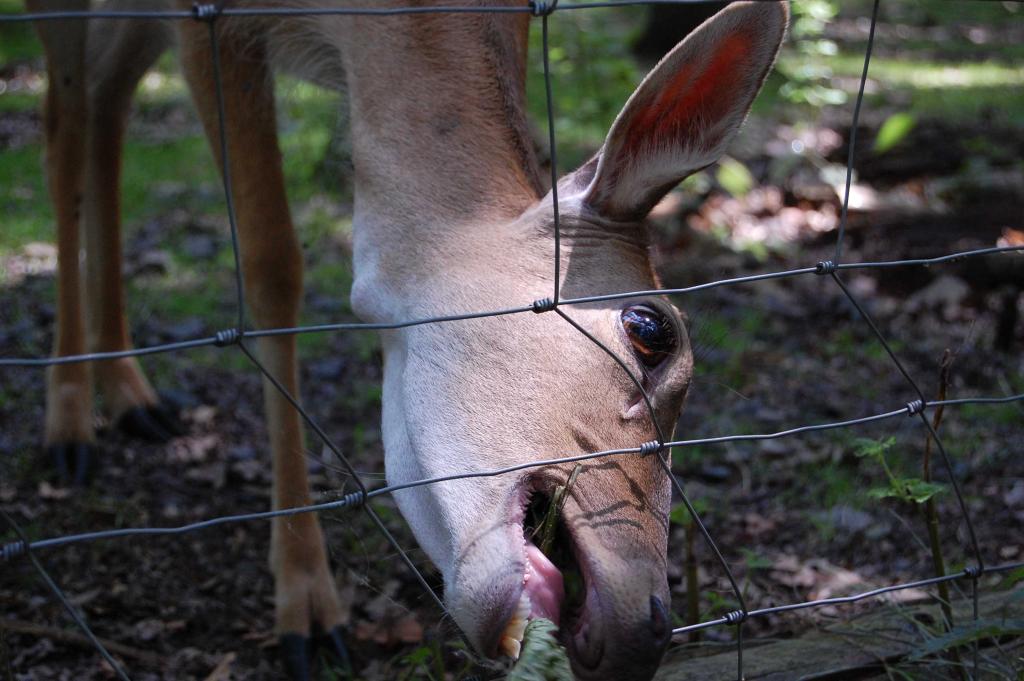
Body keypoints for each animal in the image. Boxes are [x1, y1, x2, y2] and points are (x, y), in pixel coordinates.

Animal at [26, 0, 786, 678]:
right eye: (652, 329)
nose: (644, 630)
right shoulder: (208, 23)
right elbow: (273, 264)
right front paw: (307, 611)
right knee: (64, 120)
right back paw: (68, 419)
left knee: (106, 95)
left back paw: (130, 392)